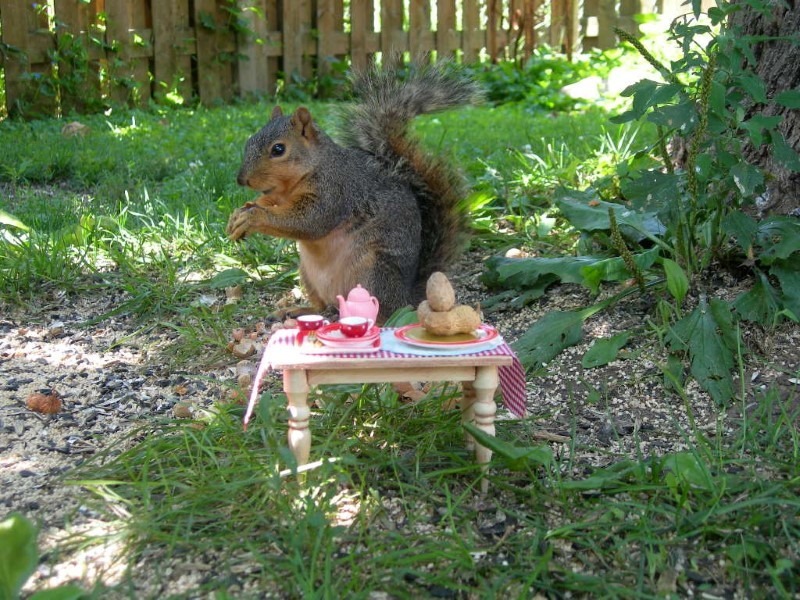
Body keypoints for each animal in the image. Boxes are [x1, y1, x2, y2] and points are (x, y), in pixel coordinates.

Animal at [226, 61, 482, 323]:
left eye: (278, 149)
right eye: (249, 141)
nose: (241, 179)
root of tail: (406, 297)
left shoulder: (336, 191)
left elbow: (311, 221)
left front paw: (253, 217)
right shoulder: (280, 195)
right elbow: (269, 201)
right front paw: (239, 214)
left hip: (372, 272)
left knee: (379, 313)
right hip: (308, 274)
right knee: (322, 307)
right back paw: (296, 310)